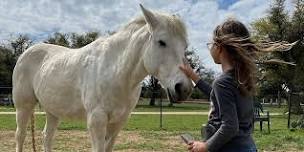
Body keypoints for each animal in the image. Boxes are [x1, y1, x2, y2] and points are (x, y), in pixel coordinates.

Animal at [13, 4, 192, 152]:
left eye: (185, 46)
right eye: (161, 42)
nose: (184, 88)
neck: (115, 71)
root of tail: (25, 54)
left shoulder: (118, 122)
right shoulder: (97, 121)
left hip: (53, 111)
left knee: (47, 137)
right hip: (23, 107)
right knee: (20, 135)